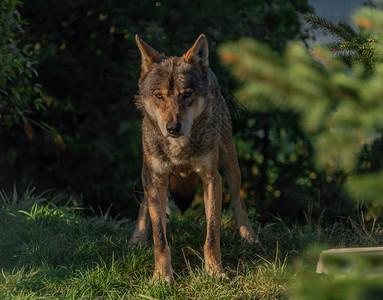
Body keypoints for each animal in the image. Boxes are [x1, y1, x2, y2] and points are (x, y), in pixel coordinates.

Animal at [130, 34, 258, 282]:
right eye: (158, 96)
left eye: (187, 94)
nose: (173, 127)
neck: (179, 149)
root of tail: (208, 70)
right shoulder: (156, 179)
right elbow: (160, 237)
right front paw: (161, 277)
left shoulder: (212, 179)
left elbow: (212, 234)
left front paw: (215, 272)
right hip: (145, 171)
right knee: (143, 203)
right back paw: (137, 239)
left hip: (230, 163)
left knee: (238, 202)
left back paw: (249, 237)